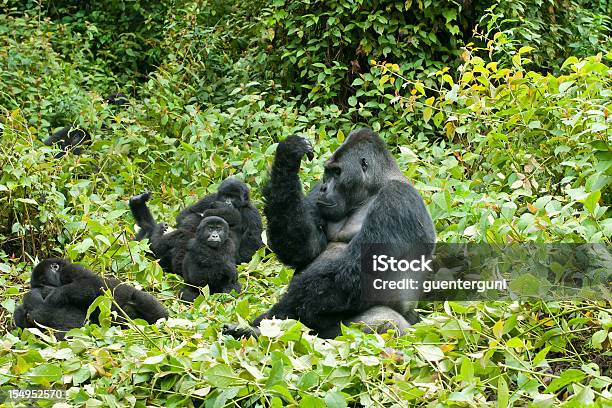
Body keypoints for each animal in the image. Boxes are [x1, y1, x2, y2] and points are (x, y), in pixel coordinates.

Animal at [225, 127, 436, 338]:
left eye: (337, 172)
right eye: (327, 173)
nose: (325, 188)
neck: (373, 188)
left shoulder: (397, 200)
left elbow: (358, 273)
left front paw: (277, 317)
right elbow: (305, 248)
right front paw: (288, 157)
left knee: (383, 321)